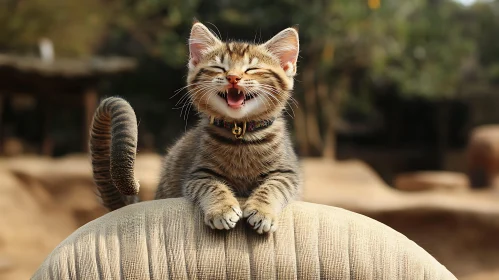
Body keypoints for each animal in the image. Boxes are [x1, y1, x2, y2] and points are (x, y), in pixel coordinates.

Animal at [89, 21, 300, 234]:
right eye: (219, 67)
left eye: (252, 69)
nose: (233, 77)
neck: (240, 133)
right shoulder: (197, 173)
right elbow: (213, 186)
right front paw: (222, 209)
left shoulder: (287, 173)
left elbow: (273, 187)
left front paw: (261, 211)